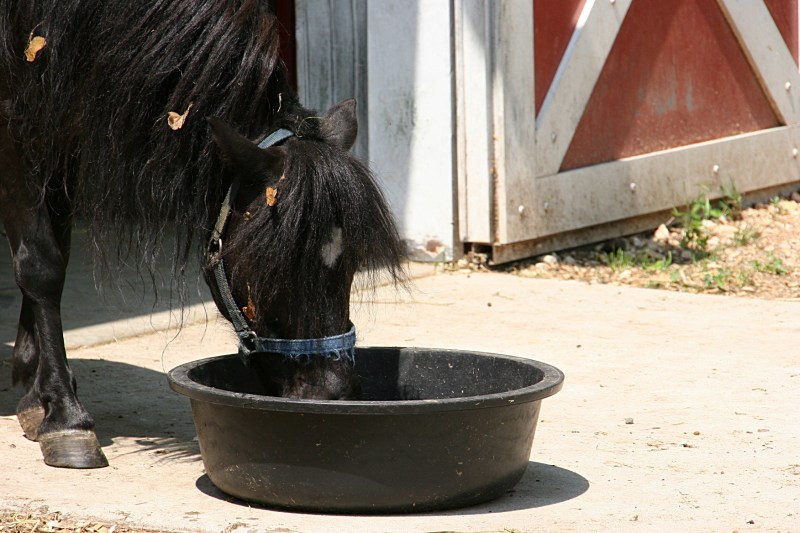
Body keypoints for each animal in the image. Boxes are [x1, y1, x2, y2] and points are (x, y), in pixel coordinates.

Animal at [0, 0, 405, 469]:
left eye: (353, 263)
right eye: (268, 266)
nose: (333, 394)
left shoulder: (62, 125)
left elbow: (57, 251)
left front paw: (37, 396)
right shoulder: (14, 118)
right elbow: (41, 263)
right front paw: (65, 415)